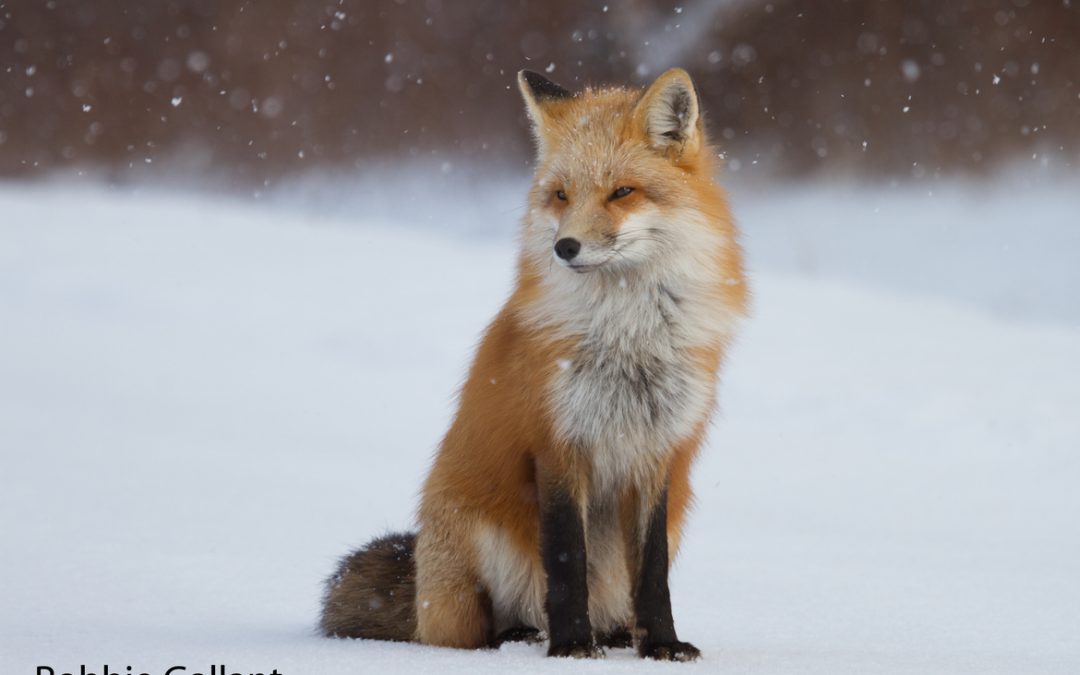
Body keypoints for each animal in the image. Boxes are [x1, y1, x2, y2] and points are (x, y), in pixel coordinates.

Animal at [319, 67, 747, 661]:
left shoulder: (656, 454)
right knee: (475, 632)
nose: (565, 247)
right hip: (477, 548)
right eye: (561, 195)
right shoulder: (556, 446)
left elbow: (652, 574)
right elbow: (567, 564)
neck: (628, 340)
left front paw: (661, 645)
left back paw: (616, 634)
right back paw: (522, 637)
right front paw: (572, 648)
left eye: (622, 192)